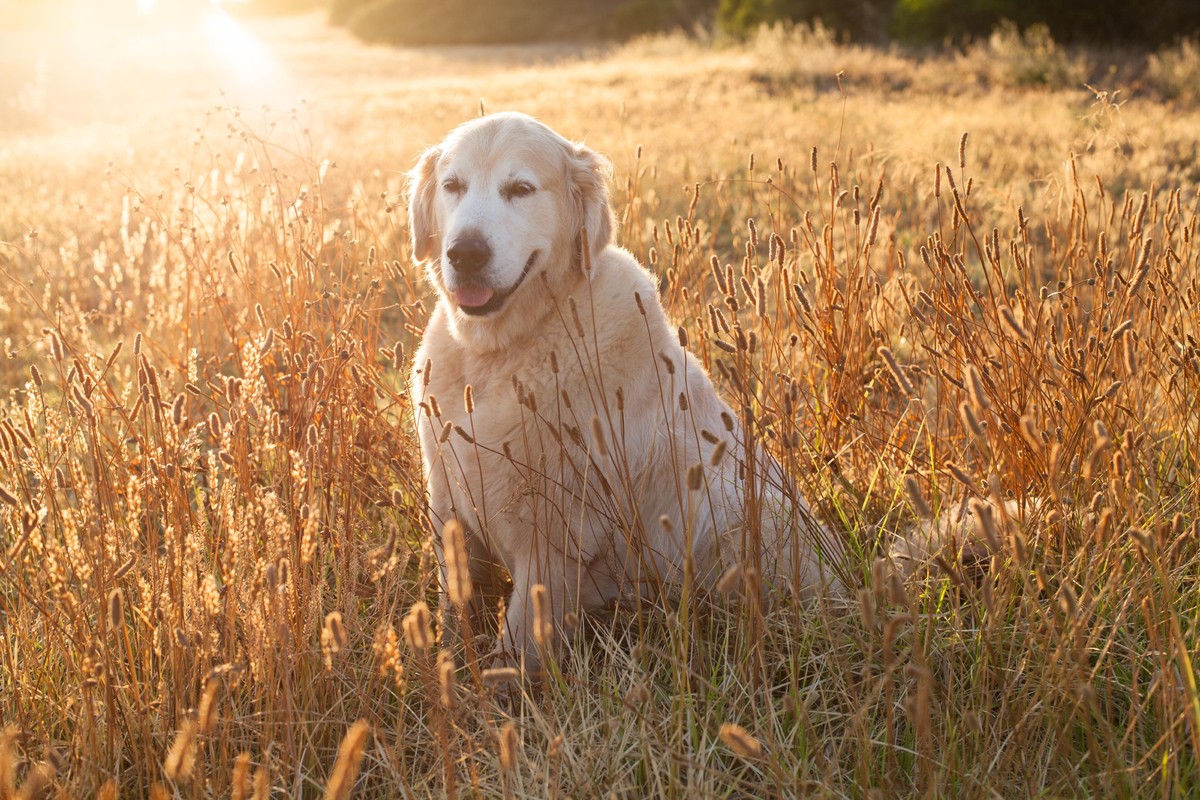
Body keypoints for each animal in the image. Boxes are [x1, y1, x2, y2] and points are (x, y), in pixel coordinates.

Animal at [410, 112, 844, 671]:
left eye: (520, 189)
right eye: (453, 186)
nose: (464, 253)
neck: (498, 353)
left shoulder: (556, 538)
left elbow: (519, 641)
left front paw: (505, 688)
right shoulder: (450, 508)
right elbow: (454, 607)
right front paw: (445, 664)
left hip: (735, 513)